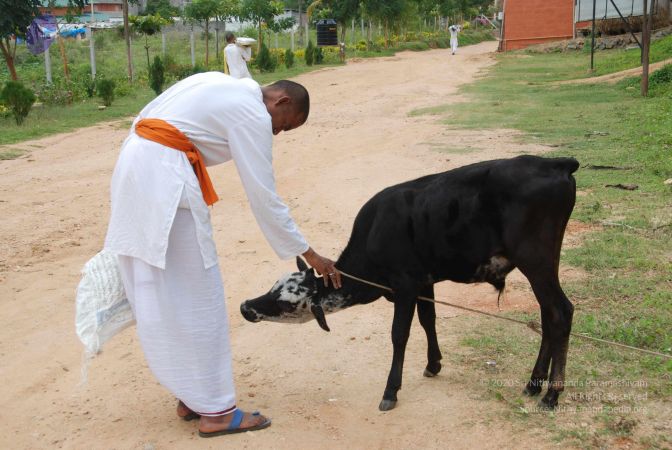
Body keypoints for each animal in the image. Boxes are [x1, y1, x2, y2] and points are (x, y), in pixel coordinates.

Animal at [240, 156, 576, 412]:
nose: (245, 307)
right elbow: (429, 320)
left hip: (535, 261)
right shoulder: (423, 284)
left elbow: (399, 334)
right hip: (544, 263)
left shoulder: (404, 286)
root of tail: (555, 163)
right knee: (548, 315)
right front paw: (433, 364)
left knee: (560, 312)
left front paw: (391, 390)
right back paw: (534, 384)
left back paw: (551, 393)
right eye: (273, 286)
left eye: (285, 304)